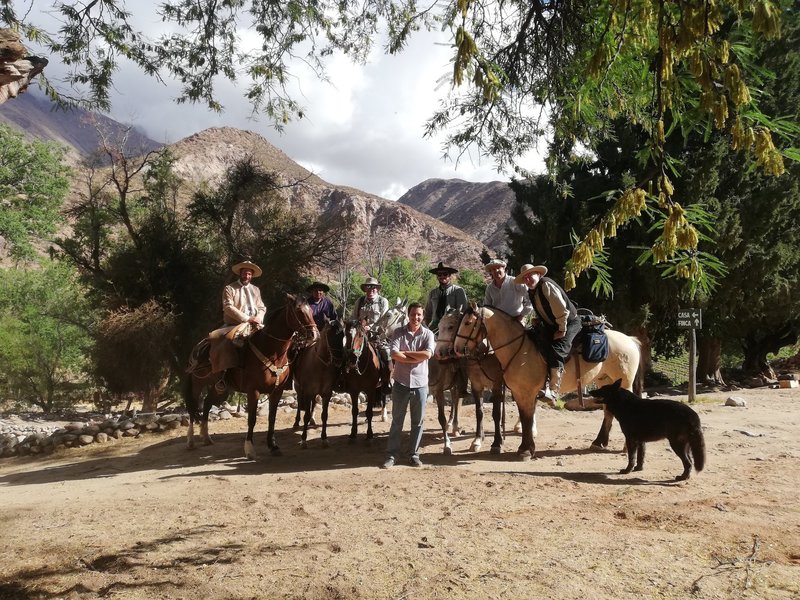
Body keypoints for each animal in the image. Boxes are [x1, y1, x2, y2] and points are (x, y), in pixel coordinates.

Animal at [183, 294, 318, 460]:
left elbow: (272, 418)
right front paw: (249, 449)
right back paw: (190, 441)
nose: (314, 334)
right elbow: (252, 419)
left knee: (207, 404)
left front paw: (273, 446)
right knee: (193, 408)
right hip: (197, 384)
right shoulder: (253, 391)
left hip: (219, 387)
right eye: (299, 310)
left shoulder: (277, 391)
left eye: (310, 310)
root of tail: (199, 347)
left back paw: (206, 437)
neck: (271, 352)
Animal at [434, 312, 510, 452]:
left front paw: (497, 442)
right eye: (439, 326)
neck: (482, 355)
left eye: (451, 327)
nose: (438, 353)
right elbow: (479, 412)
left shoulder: (496, 385)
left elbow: (496, 413)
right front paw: (478, 439)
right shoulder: (476, 385)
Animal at [456, 304, 644, 460]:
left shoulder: (527, 392)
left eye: (468, 323)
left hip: (624, 383)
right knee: (607, 411)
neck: (519, 350)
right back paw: (599, 442)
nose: (456, 349)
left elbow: (527, 419)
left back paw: (625, 447)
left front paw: (525, 450)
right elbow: (525, 418)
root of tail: (630, 339)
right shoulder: (519, 392)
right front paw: (525, 448)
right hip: (604, 381)